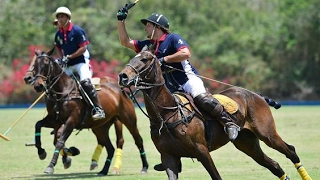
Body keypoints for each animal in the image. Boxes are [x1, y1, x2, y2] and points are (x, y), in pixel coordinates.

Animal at [118, 46, 312, 180]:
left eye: (145, 59)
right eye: (132, 57)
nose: (123, 76)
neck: (167, 115)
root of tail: (256, 94)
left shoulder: (202, 151)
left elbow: (216, 176)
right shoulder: (168, 157)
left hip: (267, 134)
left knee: (290, 150)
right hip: (247, 143)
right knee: (274, 165)